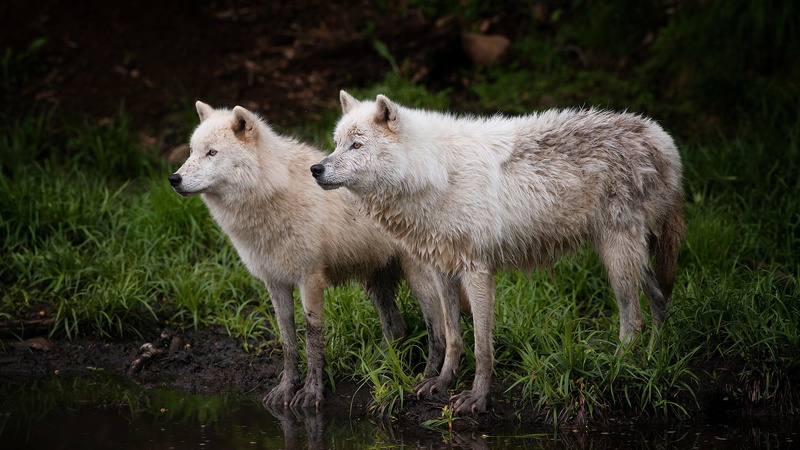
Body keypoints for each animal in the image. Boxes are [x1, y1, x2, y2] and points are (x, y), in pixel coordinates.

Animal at [168, 101, 446, 409]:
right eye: (192, 151)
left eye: (212, 152)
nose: (173, 179)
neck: (269, 193)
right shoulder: (275, 283)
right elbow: (288, 341)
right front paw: (286, 388)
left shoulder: (310, 280)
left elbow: (313, 340)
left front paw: (312, 392)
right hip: (373, 283)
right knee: (397, 328)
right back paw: (379, 369)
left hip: (420, 282)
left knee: (438, 332)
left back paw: (424, 378)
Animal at [311, 91, 684, 414]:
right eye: (336, 143)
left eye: (357, 145)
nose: (317, 169)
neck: (436, 172)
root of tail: (663, 139)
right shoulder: (442, 269)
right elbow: (453, 336)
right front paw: (441, 383)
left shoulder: (476, 270)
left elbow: (481, 345)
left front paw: (477, 398)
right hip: (629, 256)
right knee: (659, 301)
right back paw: (654, 361)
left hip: (616, 256)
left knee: (633, 321)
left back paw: (616, 369)